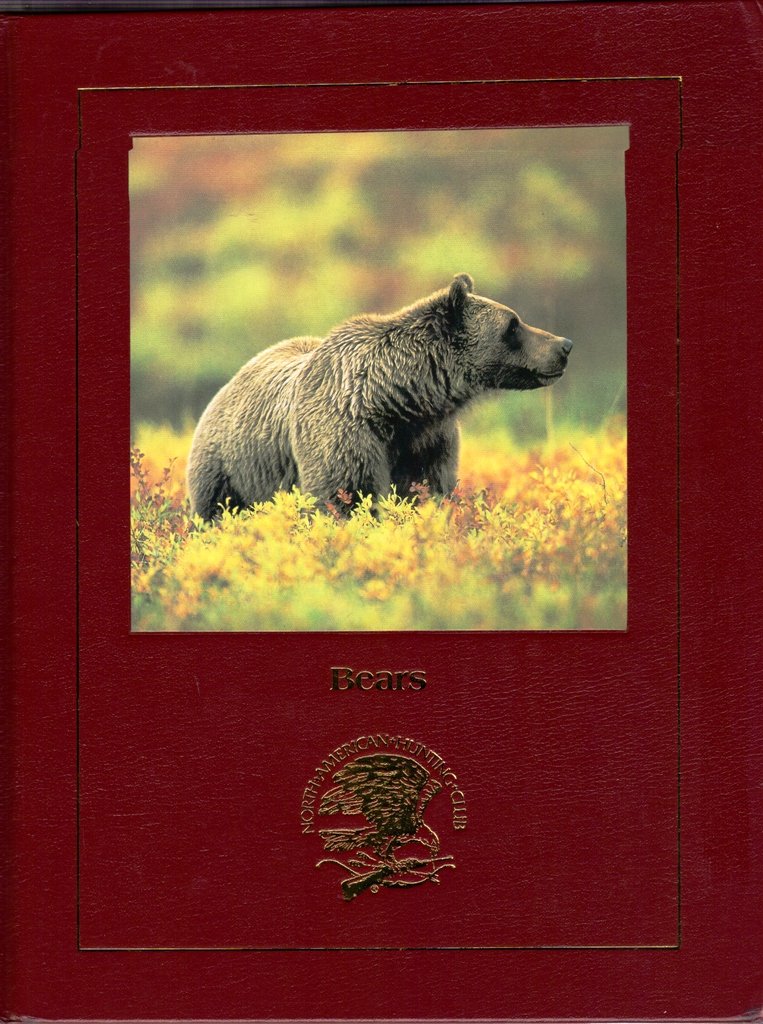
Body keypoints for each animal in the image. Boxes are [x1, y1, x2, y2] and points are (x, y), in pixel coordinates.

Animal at [187, 273, 572, 520]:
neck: (398, 398)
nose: (564, 345)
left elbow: (427, 487)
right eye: (513, 324)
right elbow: (346, 493)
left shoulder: (427, 439)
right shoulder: (345, 431)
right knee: (217, 511)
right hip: (230, 468)